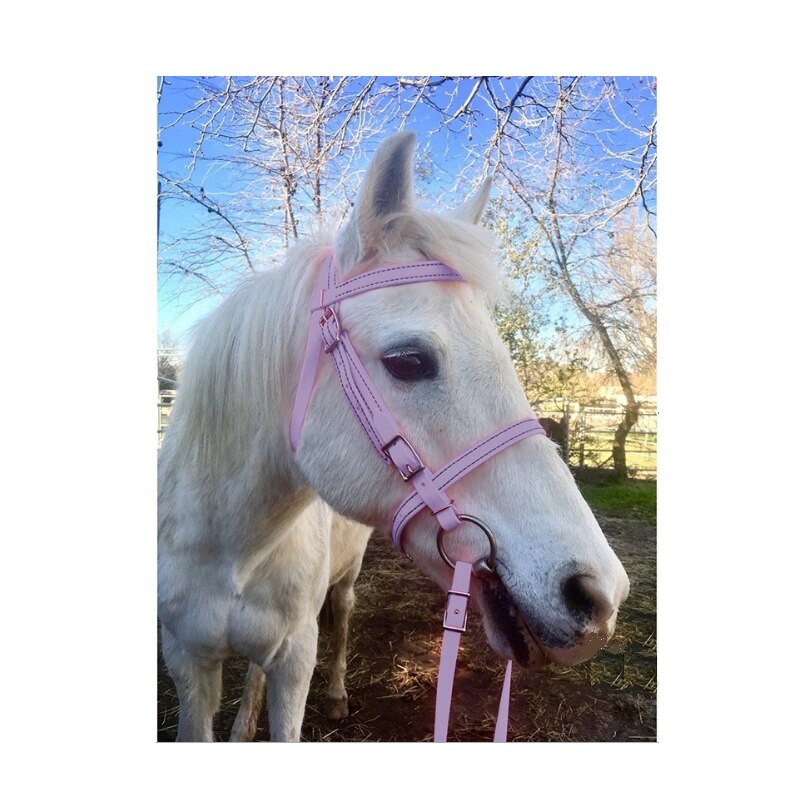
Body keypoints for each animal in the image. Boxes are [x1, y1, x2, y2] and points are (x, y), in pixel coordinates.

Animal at [157, 132, 630, 742]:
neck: (231, 549)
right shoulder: (186, 663)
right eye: (409, 361)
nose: (599, 594)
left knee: (340, 618)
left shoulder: (294, 658)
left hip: (342, 585)